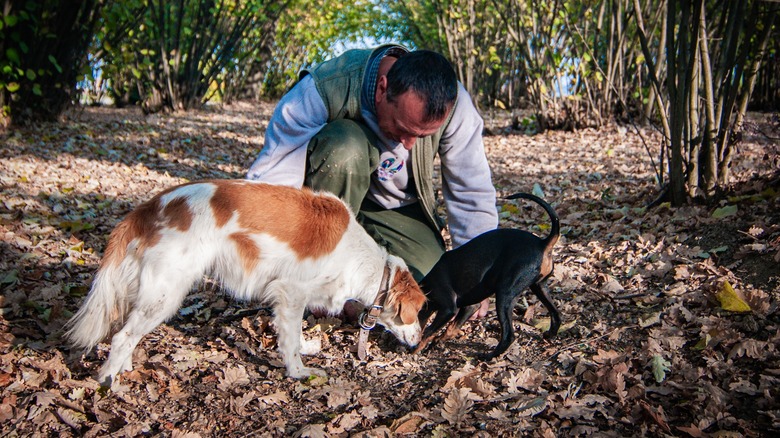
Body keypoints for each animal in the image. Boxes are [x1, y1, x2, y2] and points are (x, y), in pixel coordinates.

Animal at [65, 178, 426, 384]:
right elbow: (291, 341)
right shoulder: (292, 293)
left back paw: (123, 367)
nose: (420, 340)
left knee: (126, 332)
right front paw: (298, 373)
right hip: (165, 293)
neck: (361, 258)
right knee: (122, 336)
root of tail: (152, 205)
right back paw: (108, 380)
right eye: (418, 314)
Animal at [414, 193, 560, 358]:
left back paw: (488, 356)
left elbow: (428, 331)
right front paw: (436, 342)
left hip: (505, 294)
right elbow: (452, 328)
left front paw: (416, 349)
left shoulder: (448, 308)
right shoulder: (470, 307)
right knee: (556, 314)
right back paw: (549, 334)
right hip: (539, 286)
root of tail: (543, 243)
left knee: (509, 335)